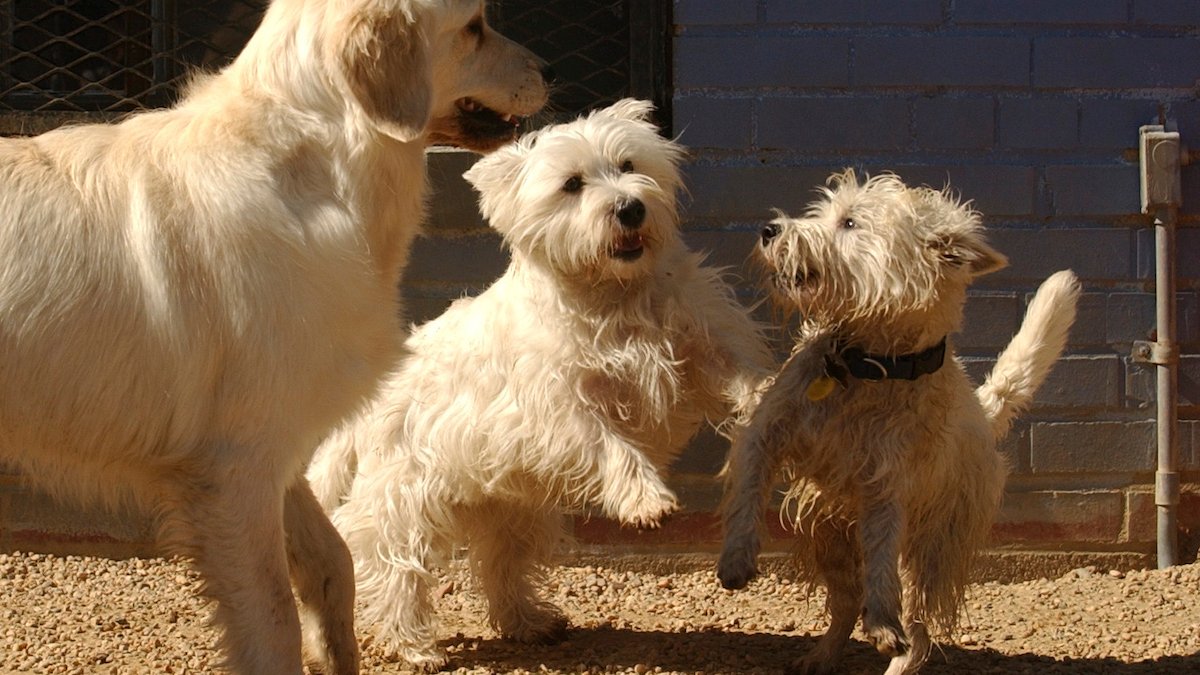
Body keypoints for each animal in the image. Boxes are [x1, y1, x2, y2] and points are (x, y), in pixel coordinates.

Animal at [0, 2, 549, 667]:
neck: (313, 168)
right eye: (474, 27)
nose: (548, 70)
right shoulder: (238, 471)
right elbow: (272, 618)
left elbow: (334, 563)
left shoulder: (276, 448)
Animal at [309, 98, 772, 667]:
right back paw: (414, 645)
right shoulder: (557, 409)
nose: (630, 209)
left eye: (628, 164)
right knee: (392, 562)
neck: (613, 294)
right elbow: (610, 445)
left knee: (501, 563)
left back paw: (528, 623)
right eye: (572, 184)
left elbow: (735, 374)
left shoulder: (696, 346)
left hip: (508, 506)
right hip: (404, 495)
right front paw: (648, 502)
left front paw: (768, 398)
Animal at [710, 170, 1080, 672]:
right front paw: (736, 558)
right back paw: (822, 655)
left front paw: (885, 623)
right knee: (846, 599)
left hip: (934, 544)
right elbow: (747, 489)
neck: (868, 364)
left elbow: (883, 559)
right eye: (822, 211)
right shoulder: (765, 432)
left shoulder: (887, 486)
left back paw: (898, 658)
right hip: (827, 532)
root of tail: (985, 412)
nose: (770, 230)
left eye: (849, 222)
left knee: (918, 620)